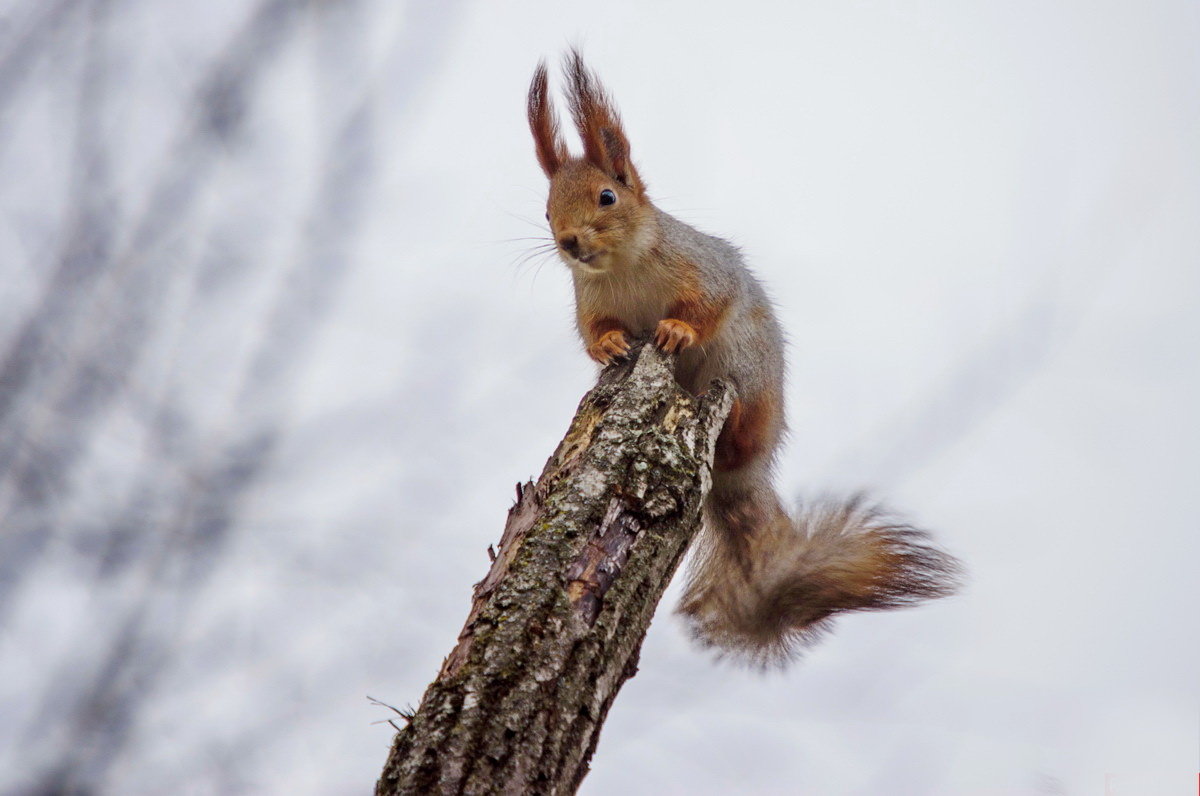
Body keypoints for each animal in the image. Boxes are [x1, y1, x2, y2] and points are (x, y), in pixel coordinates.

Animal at [523, 51, 955, 667]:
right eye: (546, 210)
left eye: (608, 196)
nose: (568, 242)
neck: (624, 267)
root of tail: (740, 477)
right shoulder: (591, 302)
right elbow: (593, 333)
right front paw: (609, 346)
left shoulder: (705, 269)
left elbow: (709, 305)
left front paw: (676, 328)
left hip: (751, 383)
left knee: (744, 428)